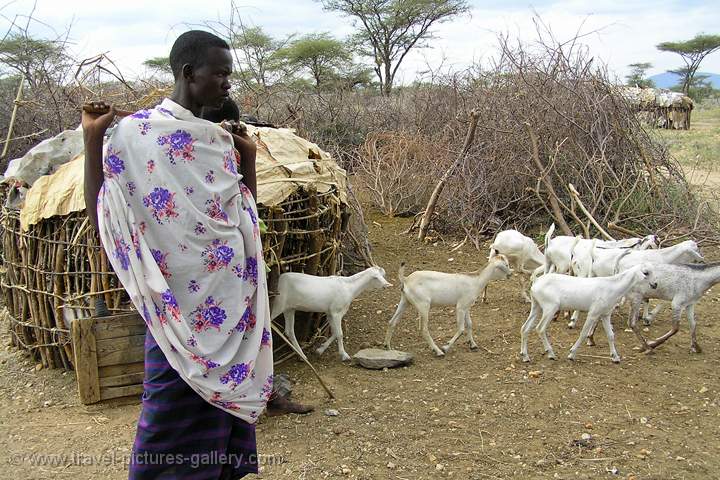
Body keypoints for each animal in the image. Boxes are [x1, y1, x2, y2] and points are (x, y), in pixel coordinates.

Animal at [520, 264, 656, 362]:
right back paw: (551, 354)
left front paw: (615, 357)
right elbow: (584, 333)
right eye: (646, 272)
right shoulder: (593, 313)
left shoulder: (605, 314)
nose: (655, 284)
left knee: (525, 328)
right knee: (540, 328)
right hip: (550, 308)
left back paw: (525, 356)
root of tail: (536, 282)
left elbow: (611, 335)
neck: (612, 287)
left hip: (536, 306)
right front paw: (572, 354)